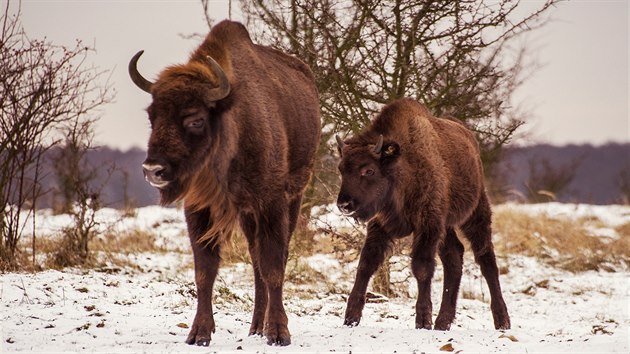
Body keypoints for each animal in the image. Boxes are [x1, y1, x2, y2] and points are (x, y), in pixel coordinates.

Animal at [338, 98, 512, 330]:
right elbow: (366, 263)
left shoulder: (428, 224)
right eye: (341, 169)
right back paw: (443, 322)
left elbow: (421, 267)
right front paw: (350, 318)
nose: (344, 204)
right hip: (447, 226)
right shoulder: (381, 225)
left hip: (475, 213)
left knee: (486, 259)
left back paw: (502, 321)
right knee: (454, 257)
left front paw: (422, 320)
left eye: (369, 170)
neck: (402, 167)